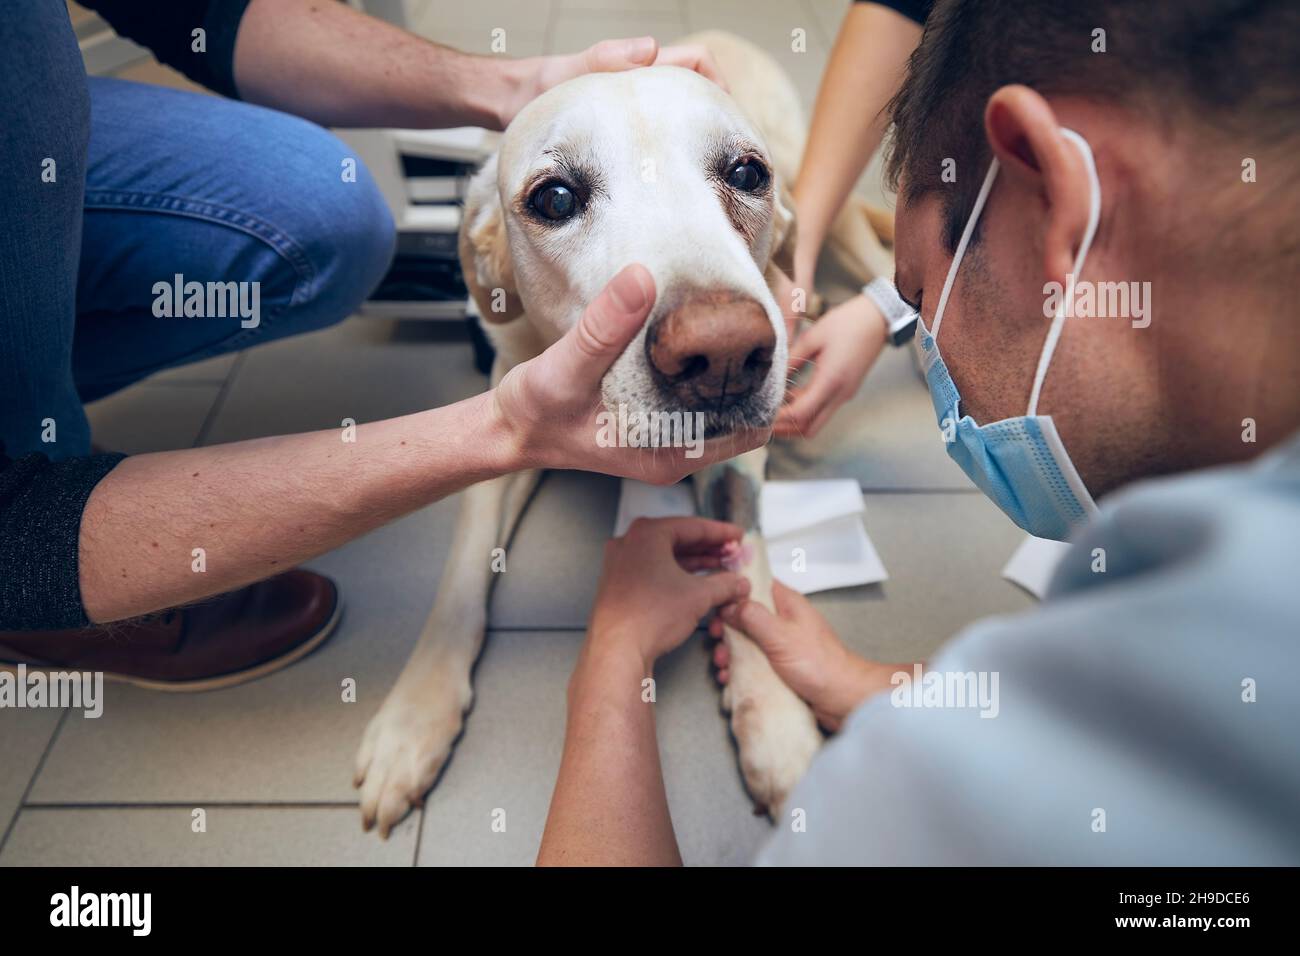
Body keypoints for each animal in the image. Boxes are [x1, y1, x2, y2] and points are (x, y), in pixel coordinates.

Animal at [351, 29, 889, 837]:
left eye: (745, 173)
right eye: (555, 198)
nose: (722, 355)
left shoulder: (740, 459)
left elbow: (747, 558)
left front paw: (775, 717)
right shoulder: (506, 420)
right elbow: (464, 565)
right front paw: (414, 716)